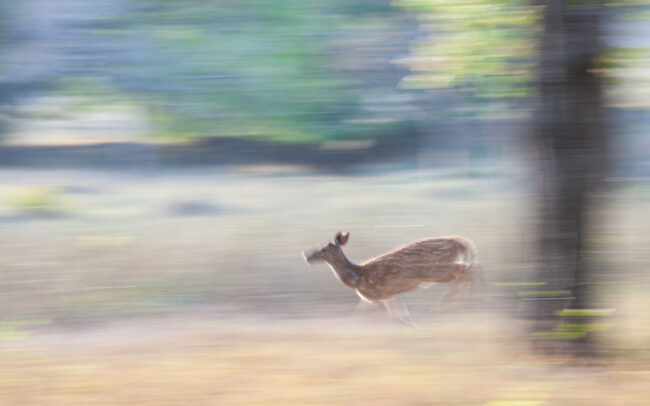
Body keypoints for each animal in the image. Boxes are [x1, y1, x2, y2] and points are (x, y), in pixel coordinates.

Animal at [302, 231, 482, 325]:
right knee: (471, 268)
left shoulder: (376, 294)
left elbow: (362, 316)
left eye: (323, 249)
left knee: (470, 270)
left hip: (437, 270)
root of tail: (461, 243)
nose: (307, 256)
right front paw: (412, 325)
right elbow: (400, 315)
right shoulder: (385, 295)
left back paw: (448, 305)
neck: (357, 278)